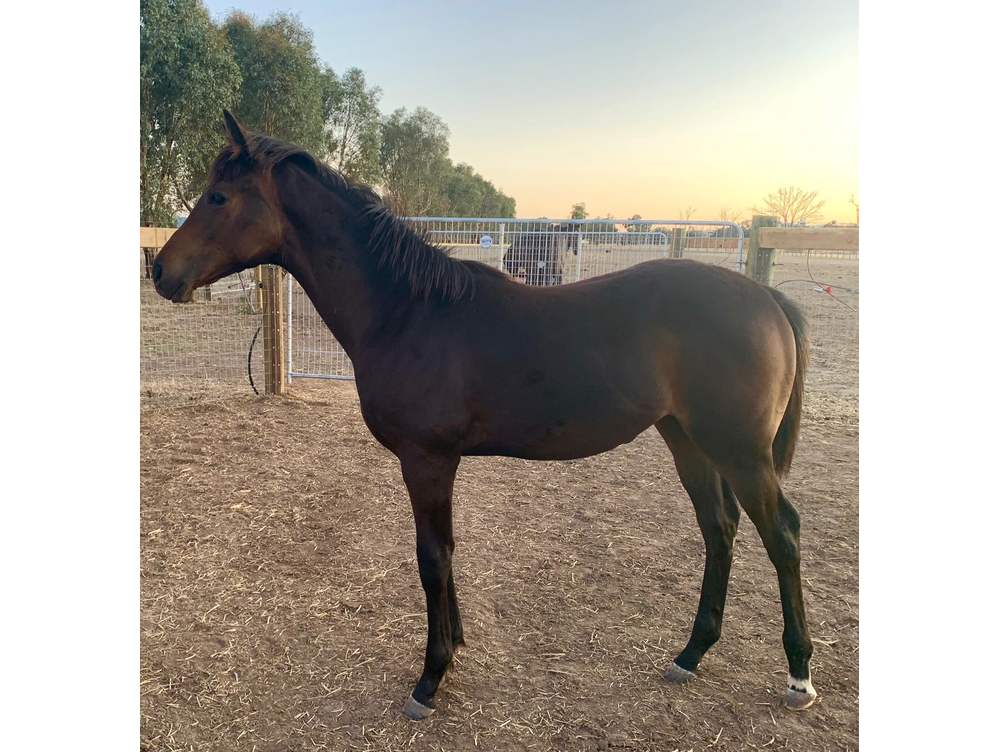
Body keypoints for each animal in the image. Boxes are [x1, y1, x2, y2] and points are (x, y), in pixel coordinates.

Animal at [152, 111, 816, 716]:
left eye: (217, 196)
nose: (160, 271)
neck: (408, 311)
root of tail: (766, 298)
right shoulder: (439, 462)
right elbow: (447, 551)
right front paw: (456, 646)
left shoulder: (426, 460)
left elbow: (432, 557)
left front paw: (430, 678)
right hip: (689, 441)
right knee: (719, 527)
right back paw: (691, 654)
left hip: (739, 451)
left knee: (782, 534)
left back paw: (799, 676)